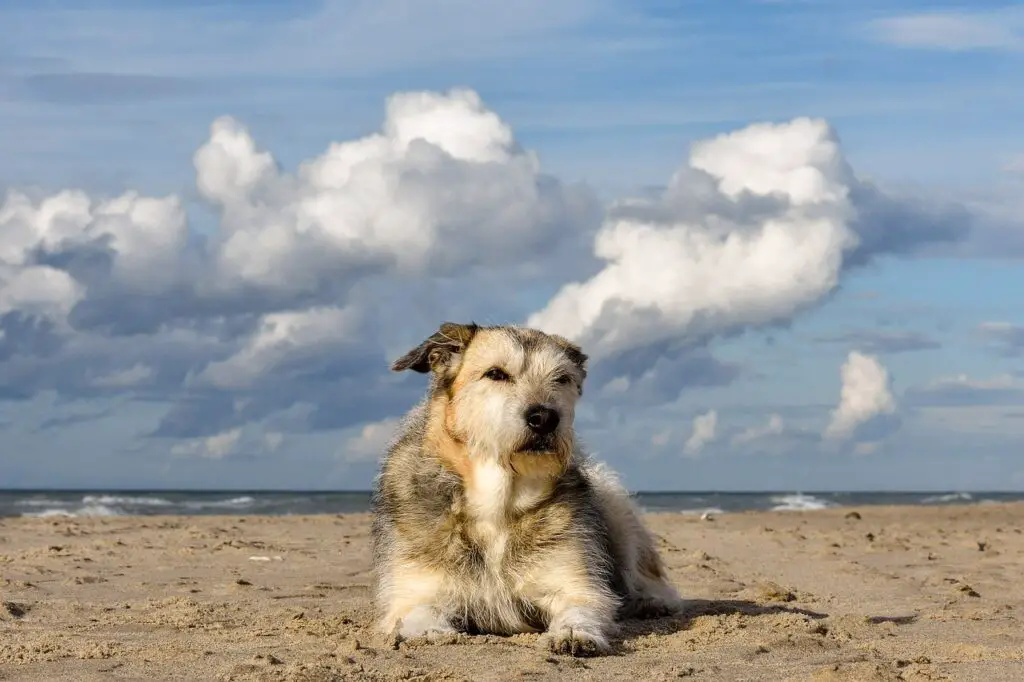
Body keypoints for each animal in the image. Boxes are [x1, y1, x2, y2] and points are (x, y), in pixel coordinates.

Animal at [372, 323, 684, 655]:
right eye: (495, 374)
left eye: (561, 378)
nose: (545, 418)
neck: (496, 500)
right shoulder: (413, 591)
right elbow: (418, 611)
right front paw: (431, 631)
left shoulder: (576, 584)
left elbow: (580, 606)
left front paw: (574, 632)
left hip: (615, 507)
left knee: (643, 573)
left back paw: (651, 600)